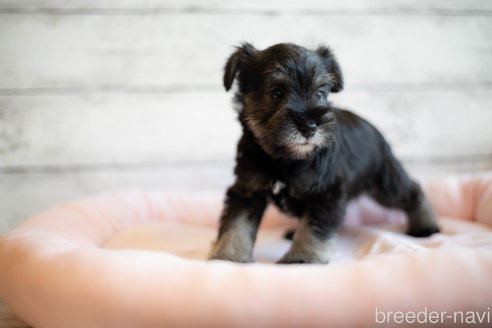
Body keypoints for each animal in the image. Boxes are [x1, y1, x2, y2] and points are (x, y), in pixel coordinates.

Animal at [208, 43, 438, 264]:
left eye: (320, 93)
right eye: (276, 92)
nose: (309, 127)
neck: (285, 158)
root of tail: (374, 129)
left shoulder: (326, 192)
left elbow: (313, 228)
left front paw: (303, 257)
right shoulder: (248, 189)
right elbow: (236, 224)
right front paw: (228, 256)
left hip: (385, 184)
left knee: (413, 190)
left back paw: (426, 226)